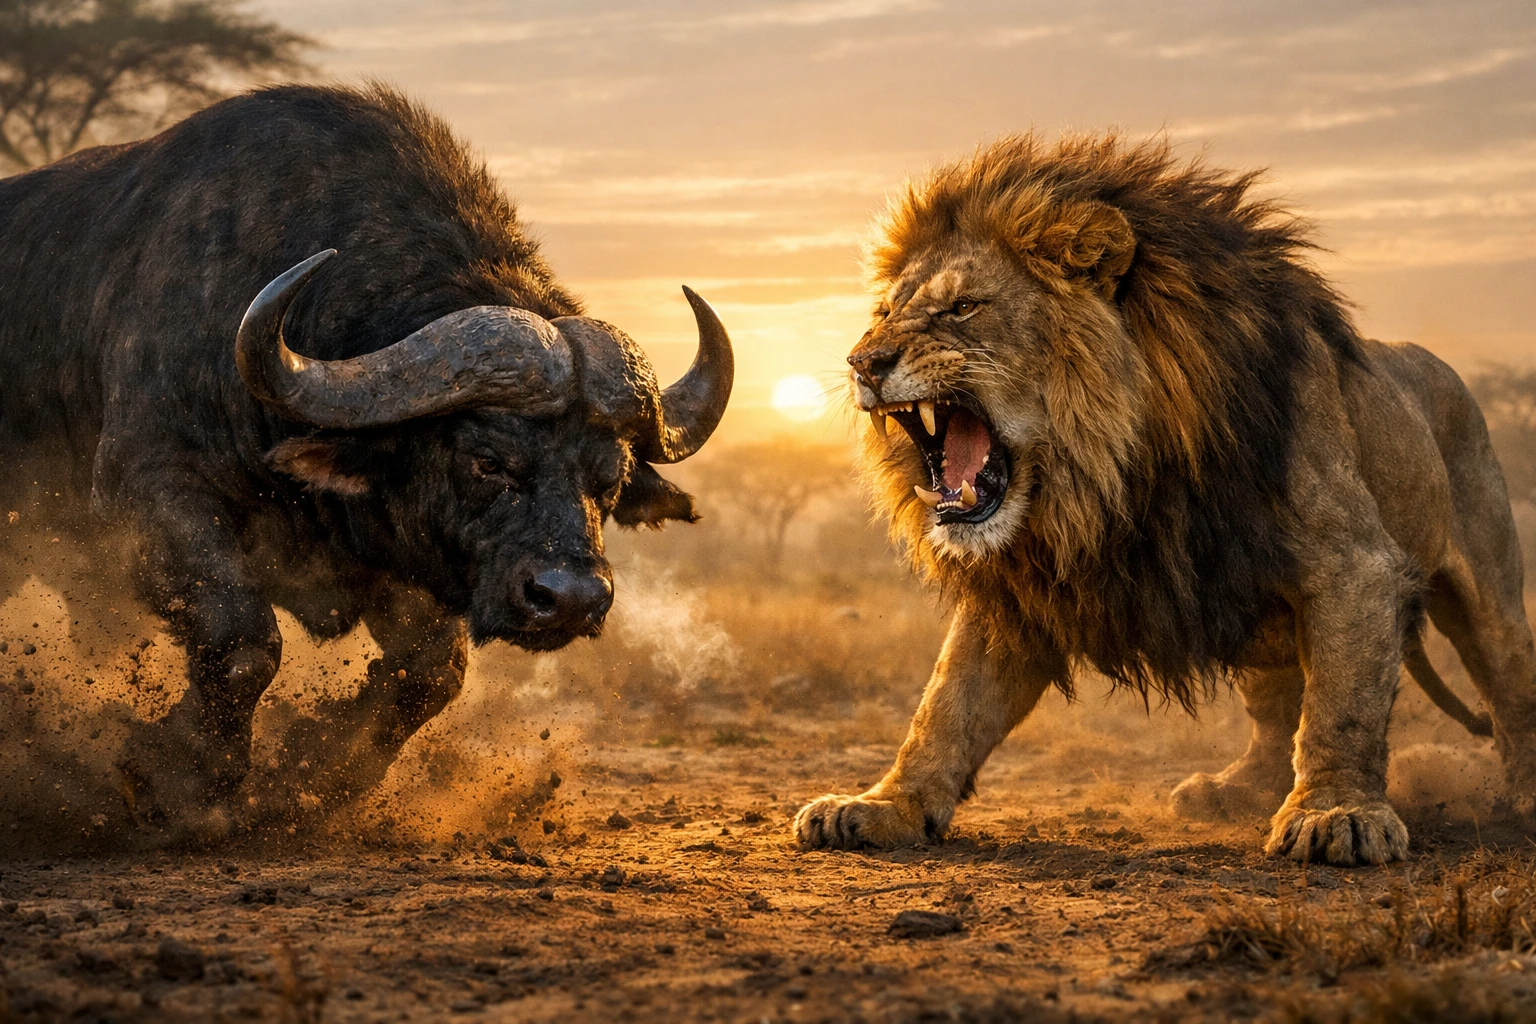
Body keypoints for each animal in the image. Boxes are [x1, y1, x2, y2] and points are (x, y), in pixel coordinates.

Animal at [0, 85, 733, 834]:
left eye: (609, 479)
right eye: (487, 460)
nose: (573, 599)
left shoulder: (395, 555)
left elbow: (432, 673)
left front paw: (316, 765)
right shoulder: (147, 496)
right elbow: (242, 640)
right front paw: (171, 774)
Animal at [793, 133, 1536, 867]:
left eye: (963, 307)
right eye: (884, 314)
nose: (863, 363)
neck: (1116, 472)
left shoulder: (1353, 564)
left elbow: (1342, 702)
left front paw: (1337, 812)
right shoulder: (1024, 590)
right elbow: (946, 706)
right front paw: (885, 805)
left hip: (1485, 592)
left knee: (1508, 683)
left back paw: (1523, 801)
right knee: (1276, 707)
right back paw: (1237, 791)